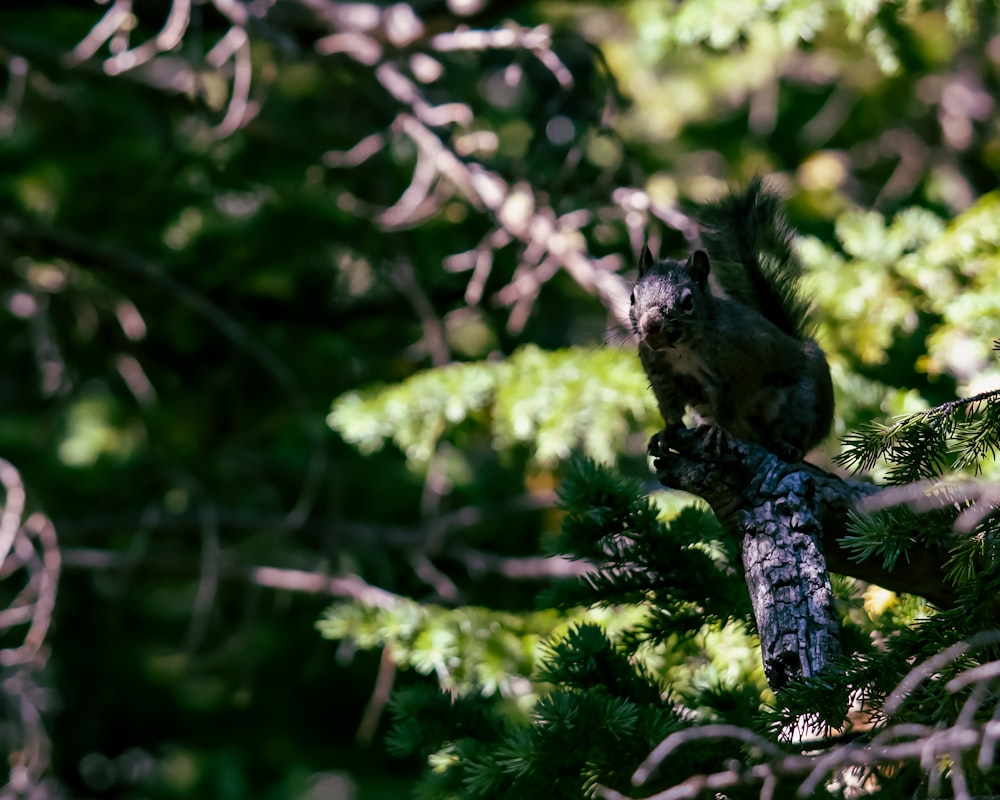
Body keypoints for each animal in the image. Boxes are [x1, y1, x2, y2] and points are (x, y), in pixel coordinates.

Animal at [632, 177, 836, 460]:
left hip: (805, 402)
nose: (650, 325)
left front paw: (719, 431)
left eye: (688, 302)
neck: (681, 350)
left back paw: (787, 445)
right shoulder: (661, 376)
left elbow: (729, 405)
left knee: (800, 433)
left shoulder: (739, 367)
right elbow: (671, 410)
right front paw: (666, 432)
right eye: (632, 296)